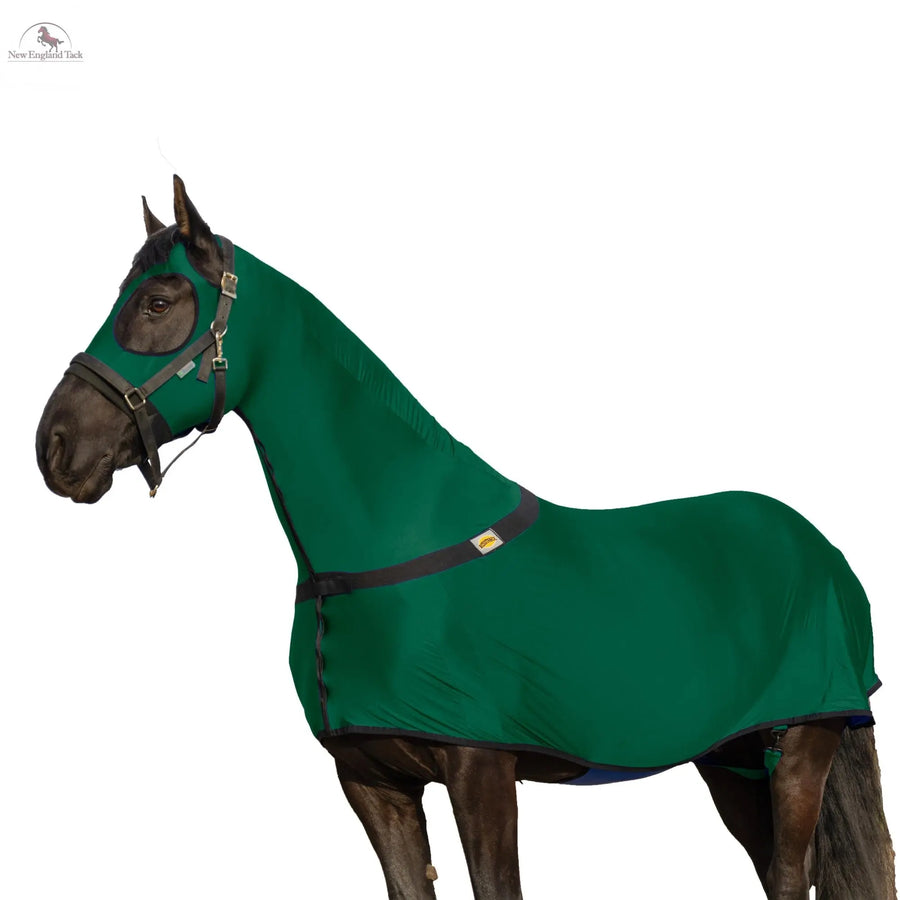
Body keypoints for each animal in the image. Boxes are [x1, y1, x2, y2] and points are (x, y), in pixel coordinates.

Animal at [35, 175, 895, 899]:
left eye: (158, 301)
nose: (55, 447)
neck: (388, 544)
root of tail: (818, 546)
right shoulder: (371, 781)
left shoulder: (482, 771)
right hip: (735, 760)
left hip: (803, 742)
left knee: (789, 876)